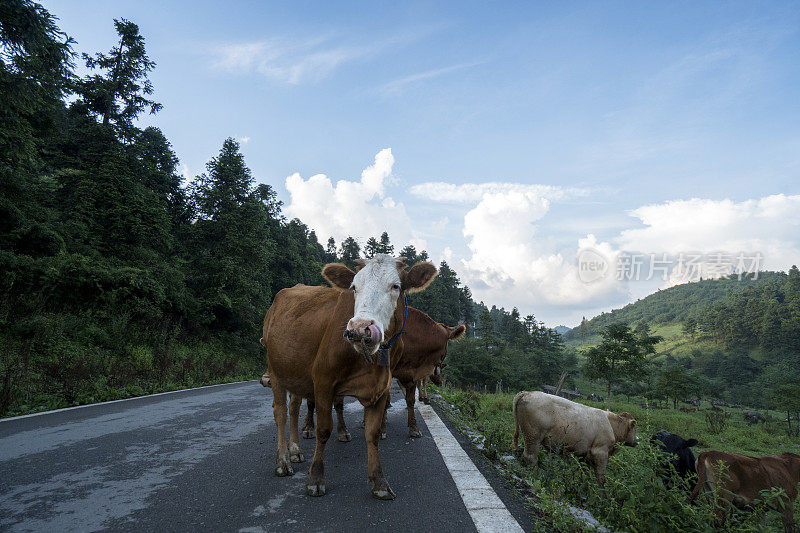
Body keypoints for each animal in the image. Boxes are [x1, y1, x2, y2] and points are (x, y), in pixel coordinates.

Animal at [262, 254, 438, 498]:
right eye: (354, 287)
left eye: (395, 286)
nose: (360, 329)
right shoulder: (323, 381)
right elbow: (323, 430)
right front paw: (316, 478)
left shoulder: (381, 387)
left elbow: (373, 434)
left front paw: (379, 482)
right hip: (276, 371)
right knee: (280, 414)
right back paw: (283, 461)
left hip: (295, 373)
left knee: (294, 409)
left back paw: (295, 450)